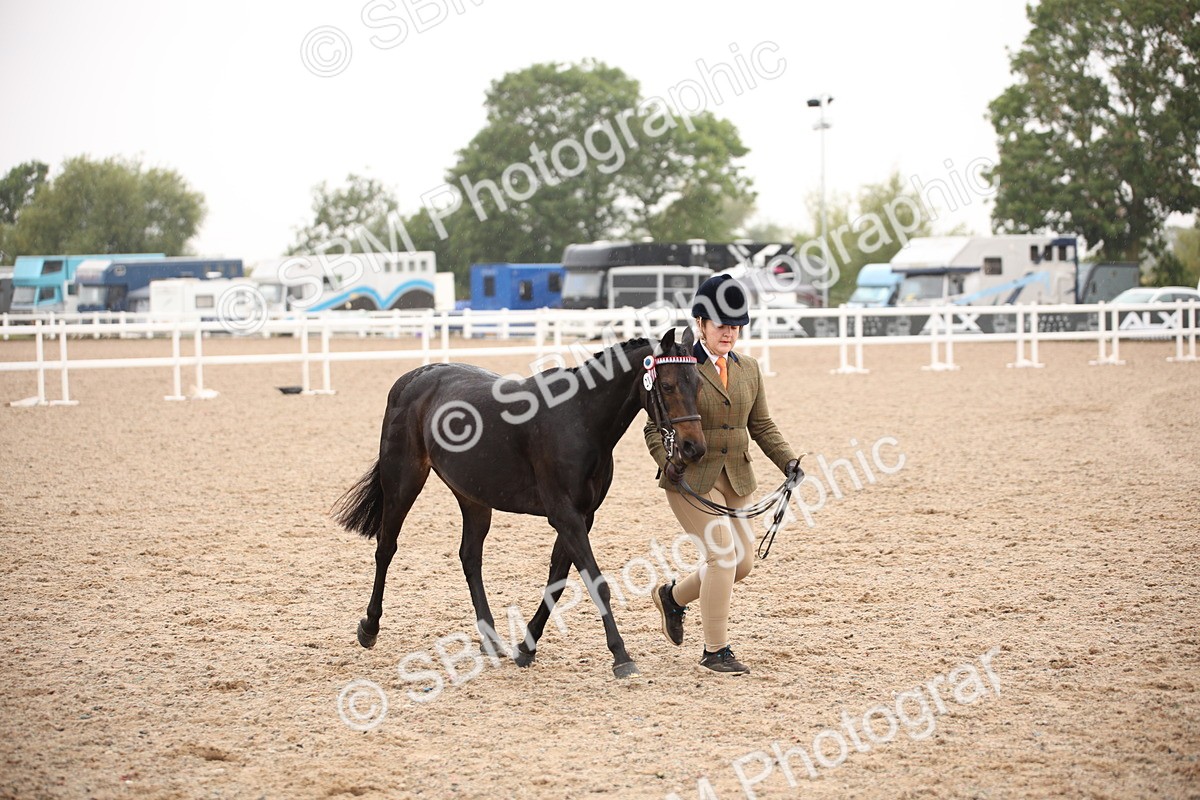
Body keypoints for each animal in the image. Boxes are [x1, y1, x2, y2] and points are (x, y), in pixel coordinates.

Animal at [332, 327, 707, 678]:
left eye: (698, 385)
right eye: (668, 385)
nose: (693, 448)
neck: (580, 418)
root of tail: (414, 377)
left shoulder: (583, 517)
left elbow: (557, 580)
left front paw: (526, 647)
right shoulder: (565, 515)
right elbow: (596, 583)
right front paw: (621, 656)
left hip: (473, 497)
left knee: (470, 557)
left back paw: (491, 639)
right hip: (403, 480)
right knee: (386, 547)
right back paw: (369, 627)